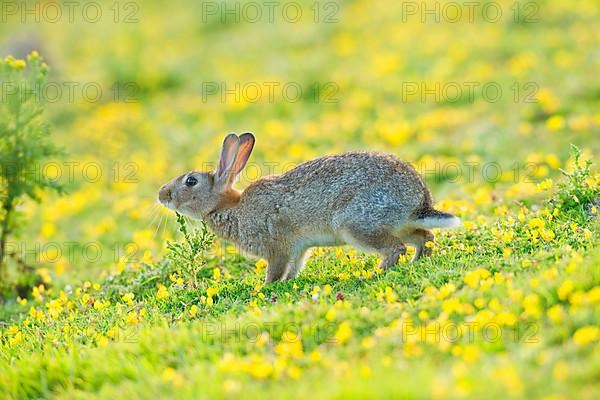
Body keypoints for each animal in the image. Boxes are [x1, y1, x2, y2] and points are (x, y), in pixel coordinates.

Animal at [158, 133, 460, 282]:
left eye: (191, 181)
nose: (162, 194)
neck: (232, 206)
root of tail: (419, 199)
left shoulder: (277, 247)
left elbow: (276, 270)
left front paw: (268, 287)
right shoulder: (298, 249)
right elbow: (295, 267)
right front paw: (288, 284)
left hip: (356, 224)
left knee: (395, 248)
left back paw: (375, 273)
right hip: (401, 224)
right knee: (424, 237)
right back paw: (417, 262)